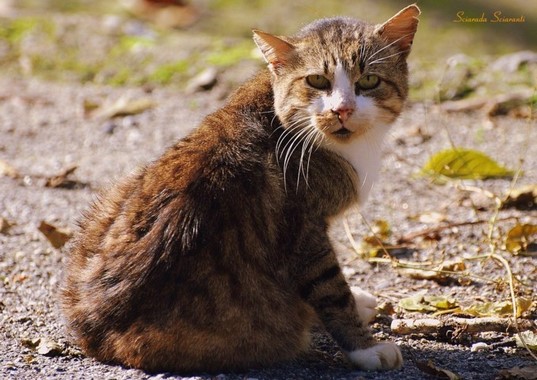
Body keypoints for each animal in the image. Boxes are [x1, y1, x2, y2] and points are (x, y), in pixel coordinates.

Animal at [61, 4, 418, 374]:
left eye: (369, 81)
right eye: (317, 81)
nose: (342, 109)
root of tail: (96, 335)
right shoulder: (304, 231)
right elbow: (331, 289)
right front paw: (366, 348)